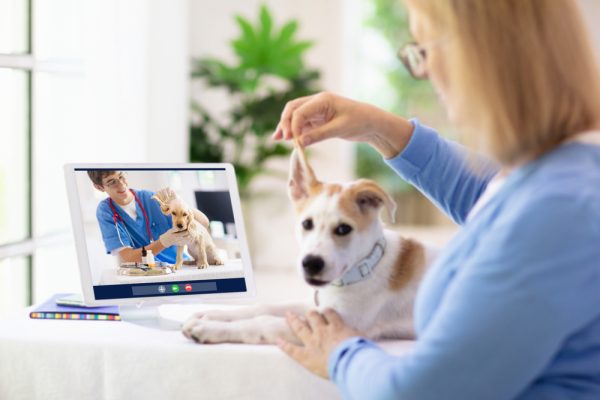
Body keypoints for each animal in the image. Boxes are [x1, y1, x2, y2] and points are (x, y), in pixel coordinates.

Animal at [180, 145, 434, 346]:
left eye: (344, 229)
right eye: (306, 223)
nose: (311, 263)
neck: (367, 266)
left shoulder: (332, 326)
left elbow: (263, 323)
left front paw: (210, 328)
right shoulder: (314, 307)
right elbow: (264, 308)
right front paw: (209, 314)